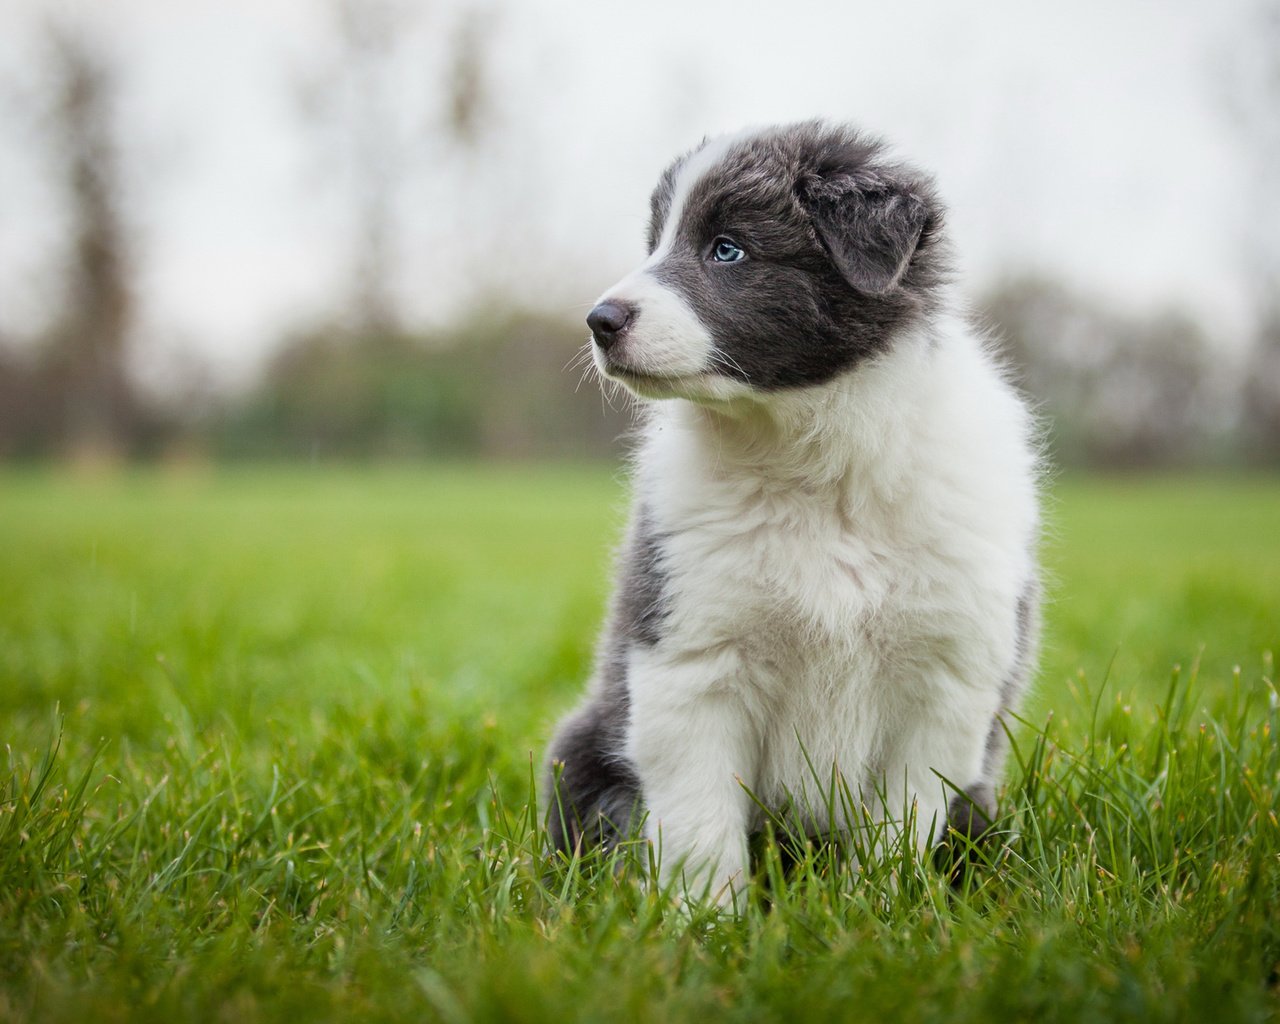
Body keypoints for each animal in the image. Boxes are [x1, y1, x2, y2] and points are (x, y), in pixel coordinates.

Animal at [545, 117, 1034, 906]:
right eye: (655, 241)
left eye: (727, 248)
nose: (599, 320)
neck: (812, 459)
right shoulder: (692, 660)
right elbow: (701, 827)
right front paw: (705, 920)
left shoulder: (943, 683)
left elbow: (899, 827)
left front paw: (878, 912)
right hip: (582, 752)